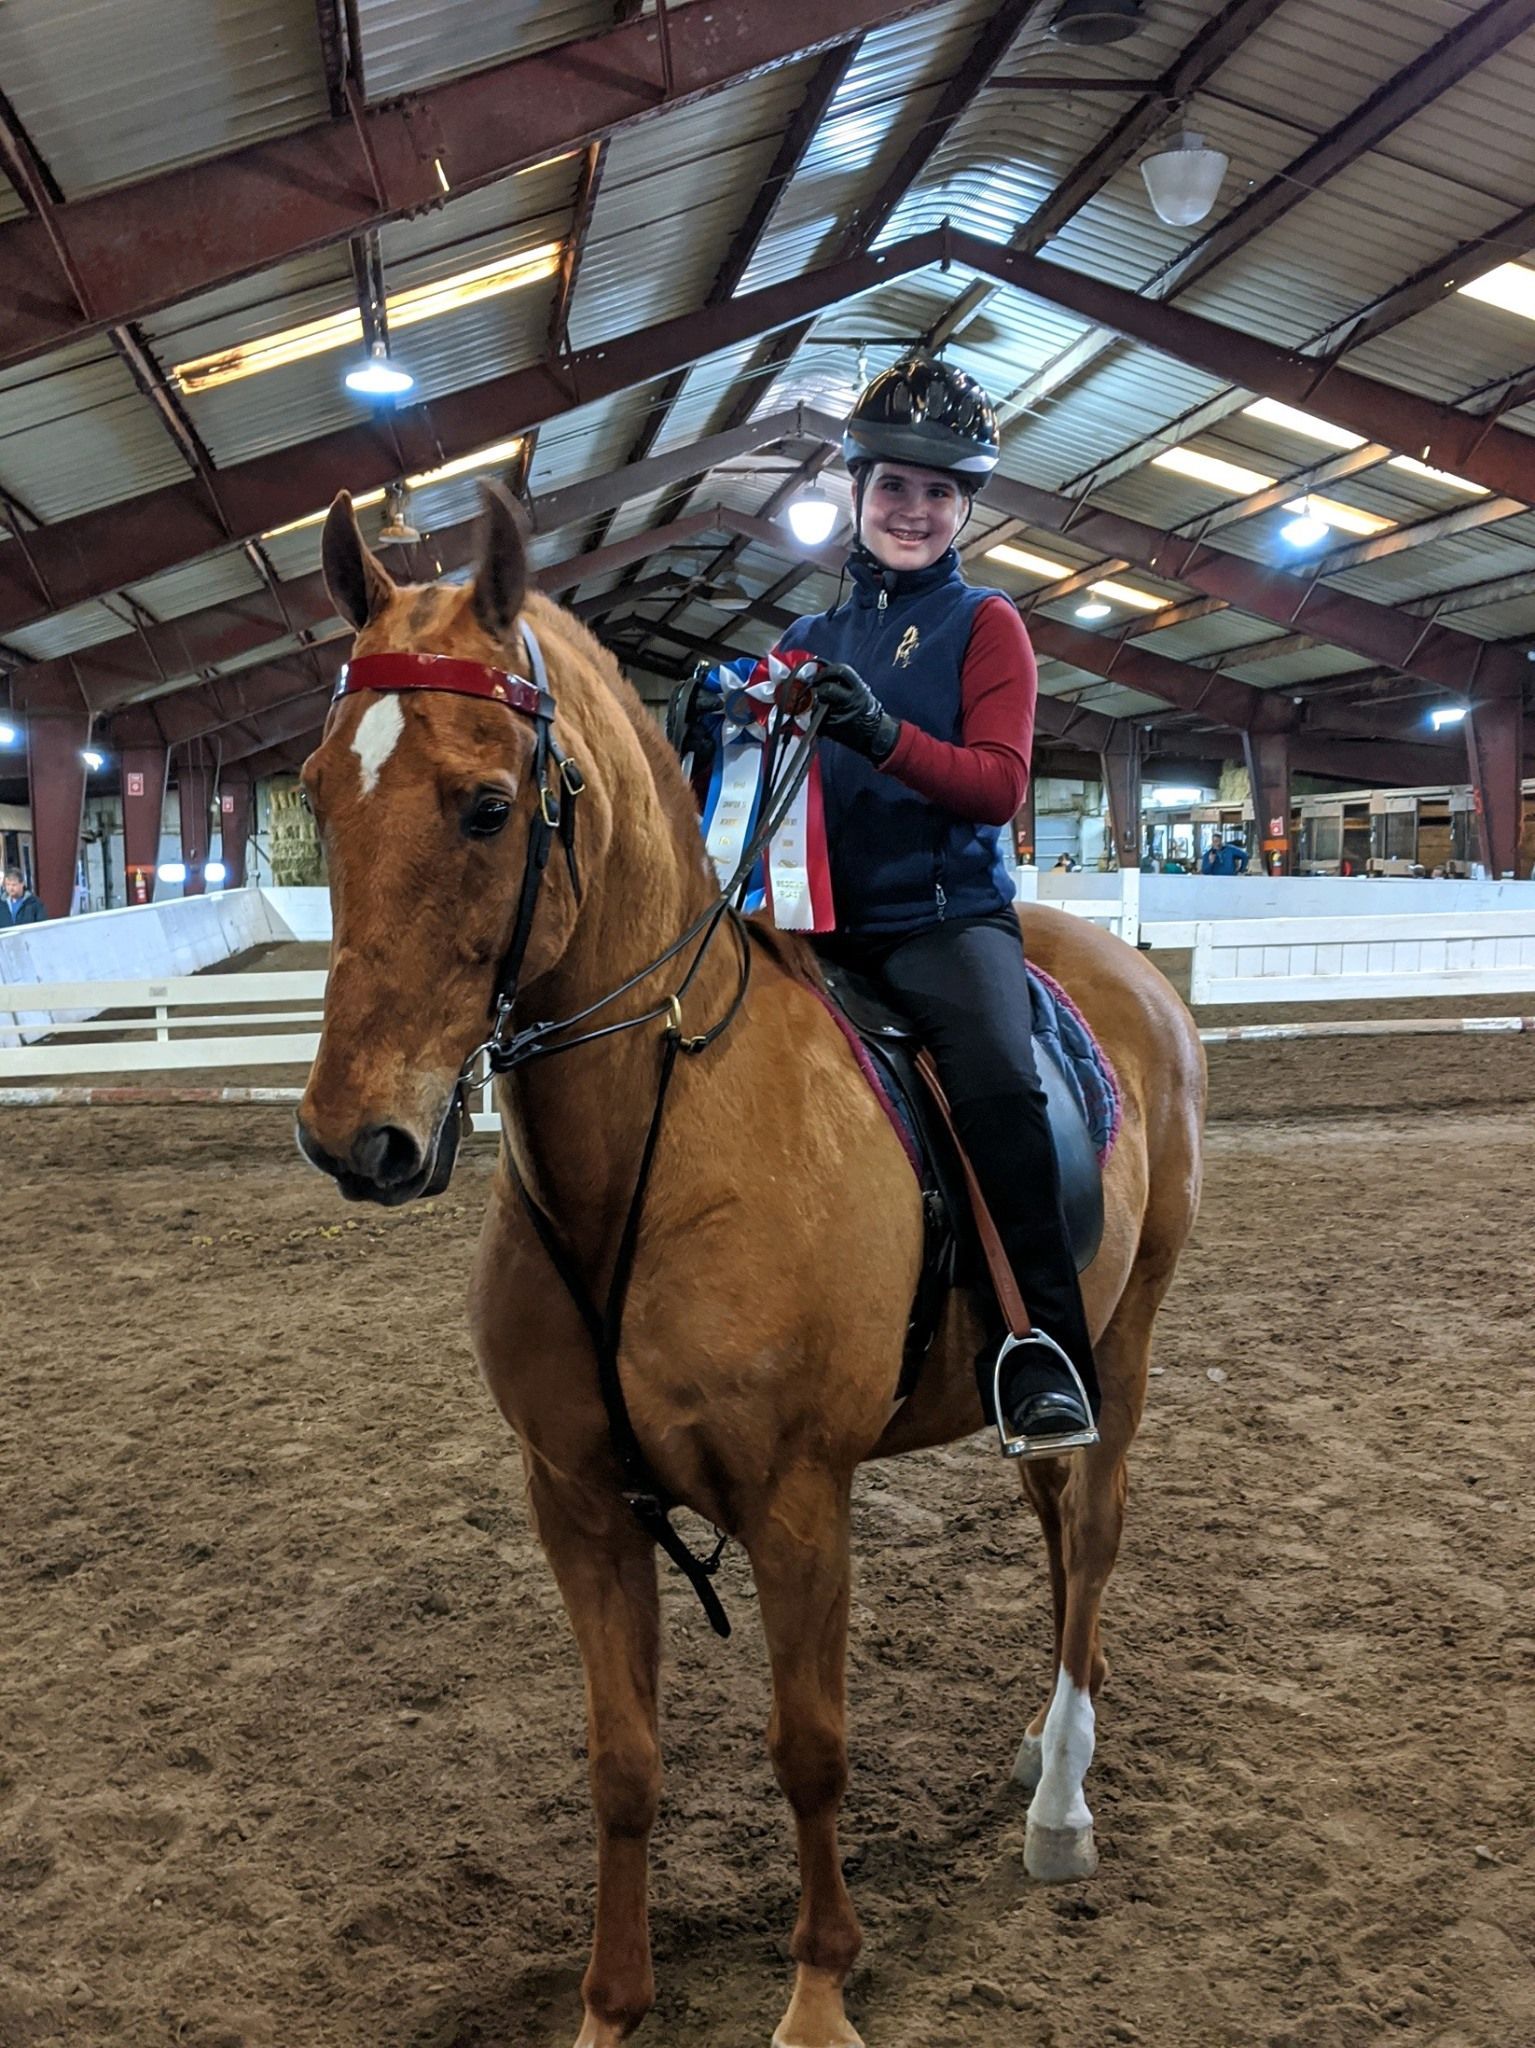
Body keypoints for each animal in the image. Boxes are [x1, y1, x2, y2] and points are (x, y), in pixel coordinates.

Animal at [296, 485, 1206, 2048]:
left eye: (486, 804)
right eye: (312, 794)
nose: (357, 1140)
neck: (654, 1152)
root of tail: (1133, 976)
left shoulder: (795, 1499)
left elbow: (807, 1747)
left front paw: (818, 1989)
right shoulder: (577, 1504)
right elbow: (621, 1763)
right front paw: (609, 2006)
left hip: (1126, 1344)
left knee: (1091, 1533)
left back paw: (1062, 1803)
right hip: (1053, 1355)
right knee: (1050, 1523)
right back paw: (1045, 1734)